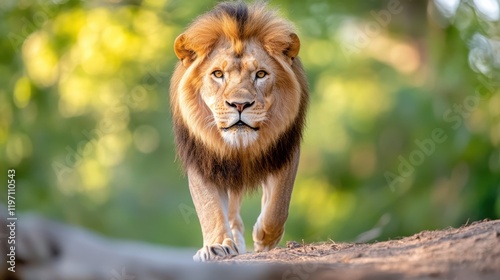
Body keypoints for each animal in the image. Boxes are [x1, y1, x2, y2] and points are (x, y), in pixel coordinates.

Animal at [171, 1, 308, 260]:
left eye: (261, 74)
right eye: (217, 74)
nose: (240, 105)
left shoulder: (285, 148)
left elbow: (278, 204)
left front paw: (264, 238)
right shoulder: (202, 158)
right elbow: (210, 207)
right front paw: (217, 245)